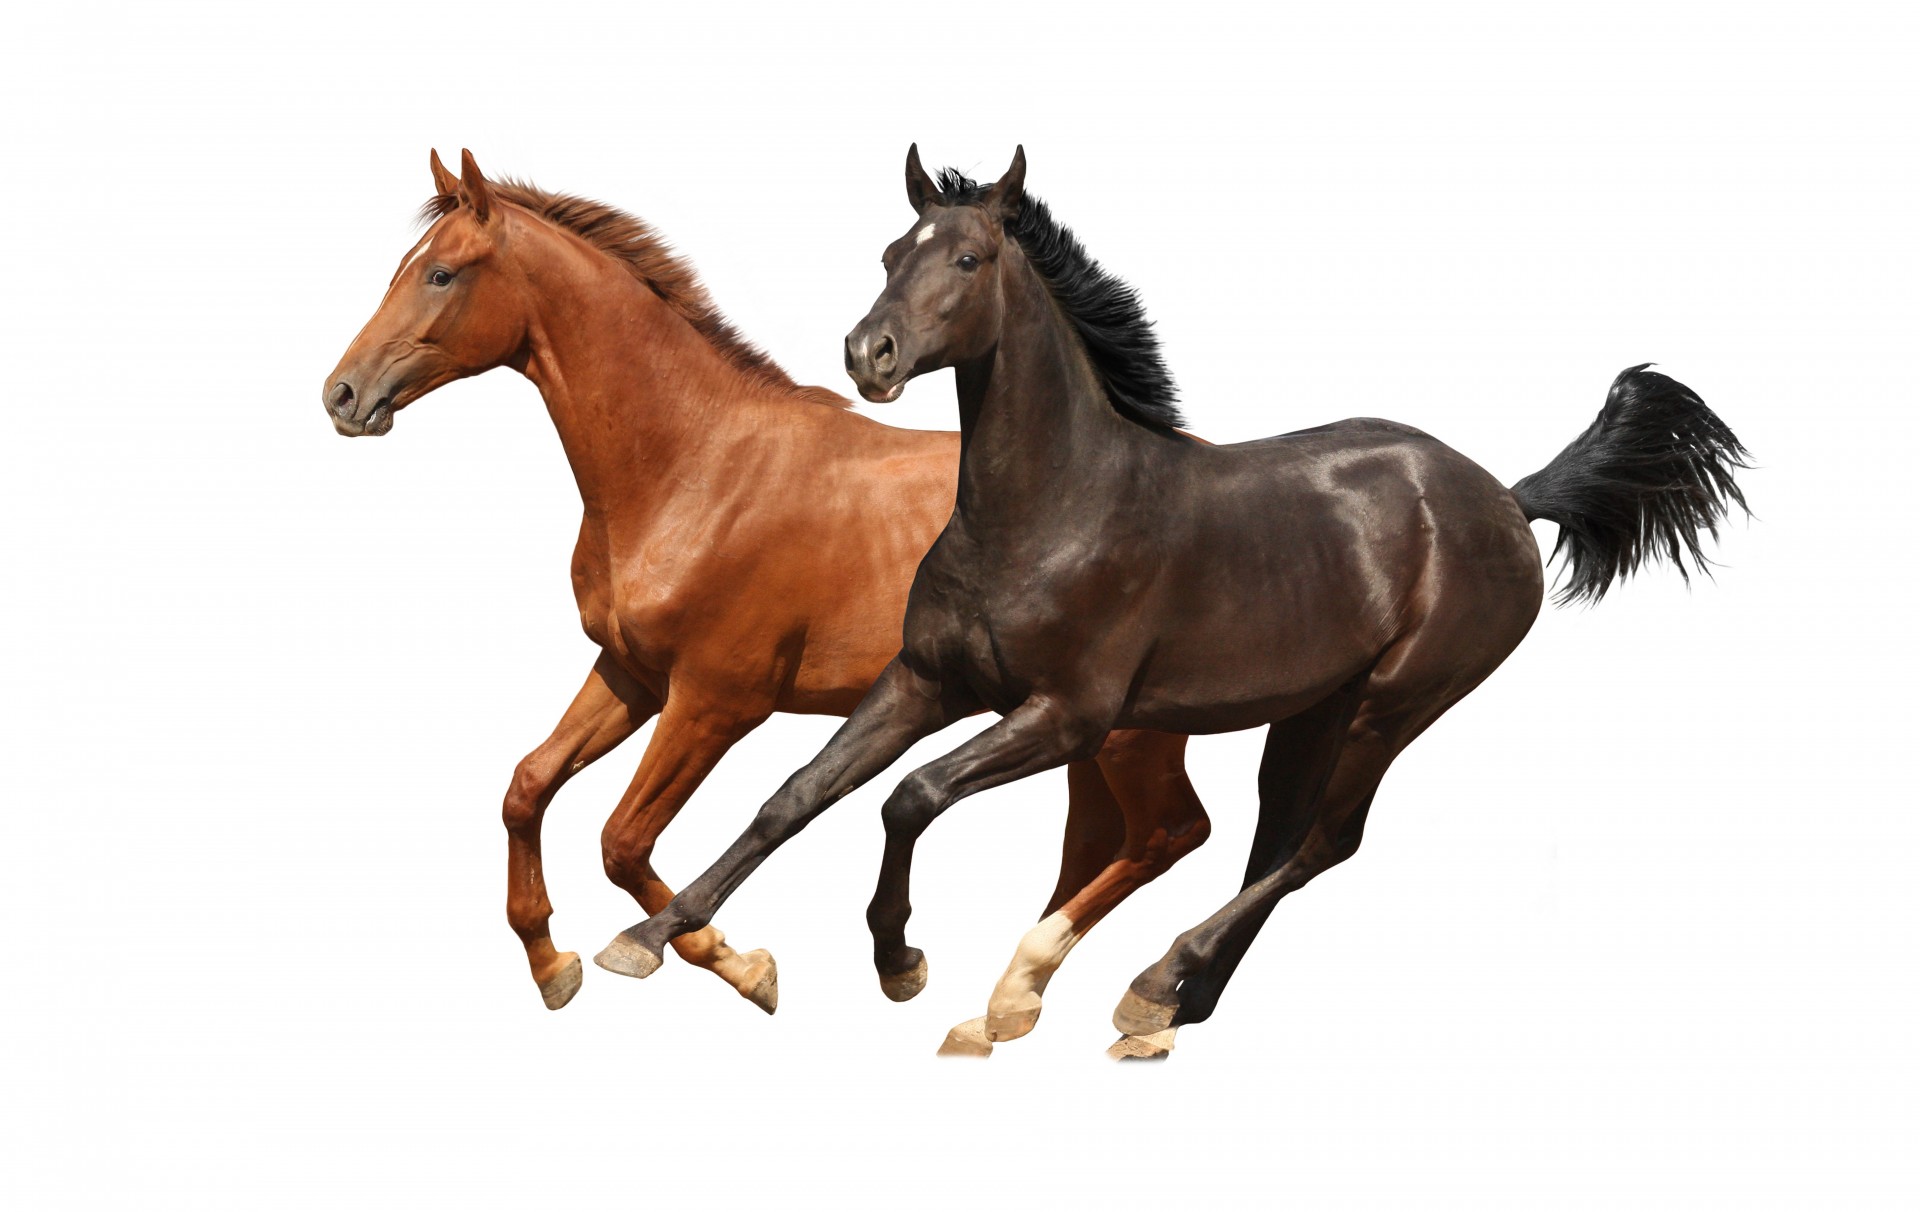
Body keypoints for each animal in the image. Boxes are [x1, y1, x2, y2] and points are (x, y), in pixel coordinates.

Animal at [321, 150, 1212, 1045]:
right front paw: (552, 966)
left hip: (1126, 735)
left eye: (440, 273)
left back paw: (1120, 1003)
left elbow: (623, 839)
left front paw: (734, 965)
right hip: (1079, 734)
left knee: (1169, 833)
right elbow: (528, 787)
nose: (342, 395)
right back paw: (1018, 1002)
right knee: (1102, 840)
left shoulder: (717, 701)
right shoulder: (631, 674)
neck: (698, 465)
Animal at [597, 145, 1750, 1059]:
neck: (1052, 509)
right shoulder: (924, 680)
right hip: (1314, 710)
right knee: (1278, 838)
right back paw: (1161, 1018)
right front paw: (649, 942)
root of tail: (1506, 499)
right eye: (891, 253)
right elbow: (794, 794)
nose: (867, 355)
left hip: (1398, 704)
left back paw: (1145, 985)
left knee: (1323, 844)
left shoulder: (1068, 715)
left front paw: (900, 961)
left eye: (967, 259)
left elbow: (909, 797)